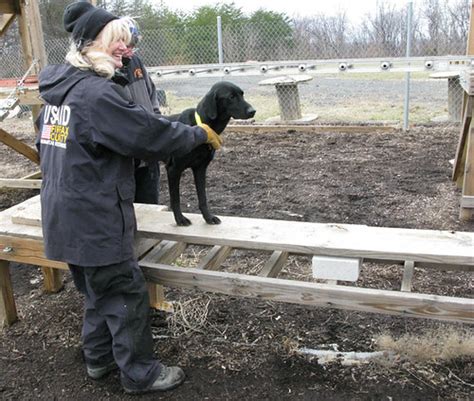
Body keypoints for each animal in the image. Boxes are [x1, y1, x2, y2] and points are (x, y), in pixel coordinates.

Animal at [164, 81, 254, 225]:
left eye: (242, 94)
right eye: (231, 97)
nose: (253, 111)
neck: (200, 127)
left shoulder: (200, 168)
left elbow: (203, 197)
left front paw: (208, 217)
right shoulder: (173, 169)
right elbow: (175, 199)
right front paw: (180, 219)